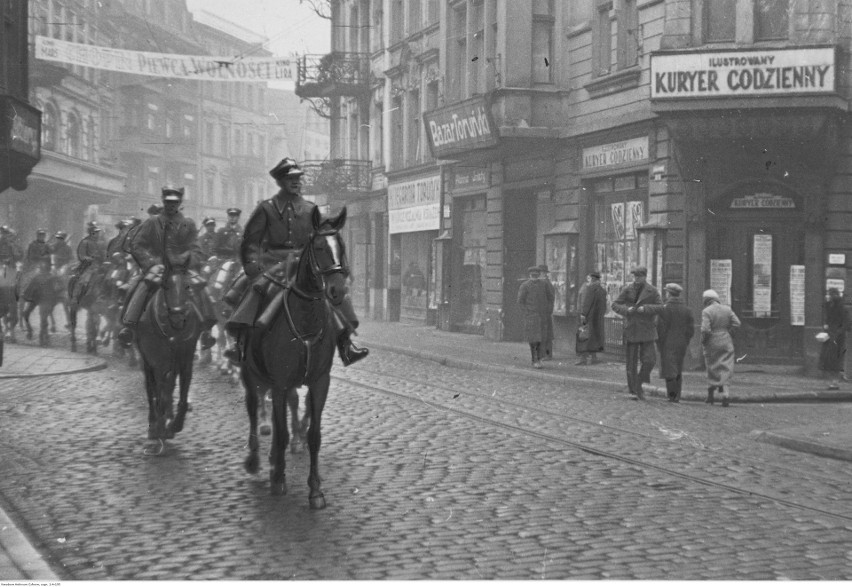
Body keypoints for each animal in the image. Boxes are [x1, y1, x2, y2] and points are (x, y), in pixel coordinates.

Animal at [136, 268, 203, 458]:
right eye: (165, 285)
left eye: (188, 285)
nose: (178, 316)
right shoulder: (157, 361)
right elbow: (160, 393)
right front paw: (159, 428)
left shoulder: (186, 358)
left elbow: (182, 391)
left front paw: (174, 424)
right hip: (148, 362)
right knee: (152, 389)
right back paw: (155, 423)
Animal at [236, 207, 350, 510]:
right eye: (320, 247)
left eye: (342, 246)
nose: (337, 291)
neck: (306, 317)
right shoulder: (278, 382)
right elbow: (281, 431)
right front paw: (278, 479)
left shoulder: (320, 382)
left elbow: (313, 435)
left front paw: (315, 490)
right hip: (250, 375)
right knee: (254, 410)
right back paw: (256, 460)